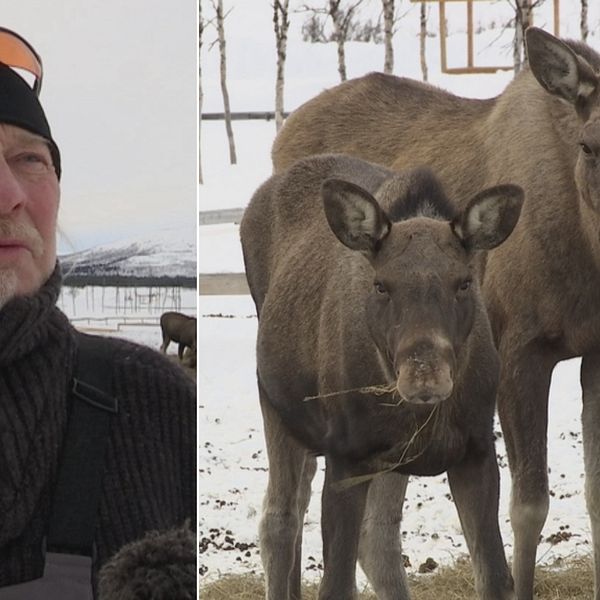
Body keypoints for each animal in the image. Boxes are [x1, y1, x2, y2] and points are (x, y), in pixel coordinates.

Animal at [274, 28, 600, 600]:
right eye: (589, 144)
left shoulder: (598, 351)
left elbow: (595, 496)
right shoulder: (522, 351)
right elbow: (528, 508)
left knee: (373, 529)